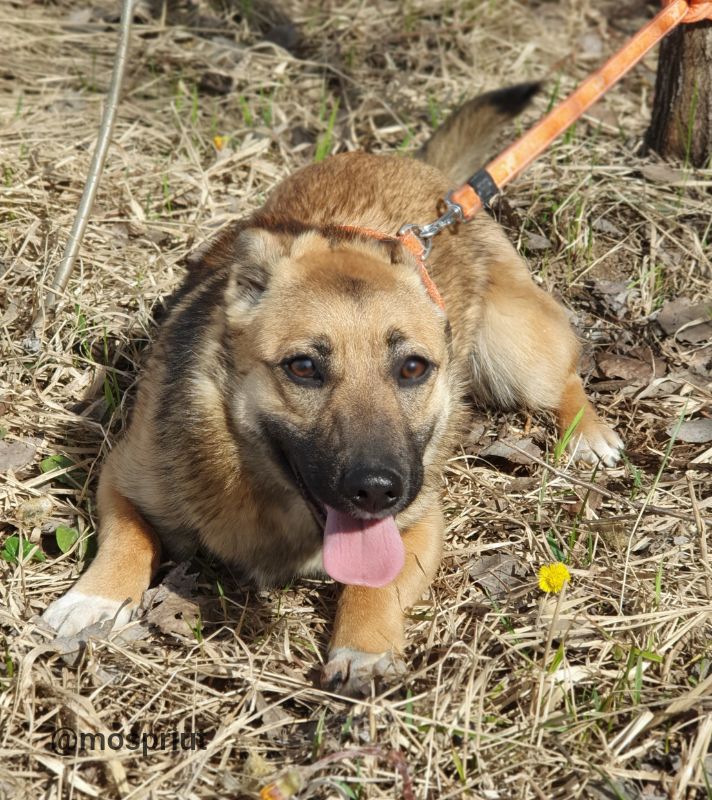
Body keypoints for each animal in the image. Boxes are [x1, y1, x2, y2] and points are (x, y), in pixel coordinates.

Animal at [46, 83, 624, 692]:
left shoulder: (420, 524)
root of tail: (437, 184)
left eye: (413, 368)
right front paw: (95, 598)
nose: (377, 490)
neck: (262, 488)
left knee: (566, 376)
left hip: (517, 351)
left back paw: (587, 434)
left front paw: (364, 647)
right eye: (303, 367)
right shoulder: (123, 478)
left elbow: (376, 583)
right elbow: (128, 539)